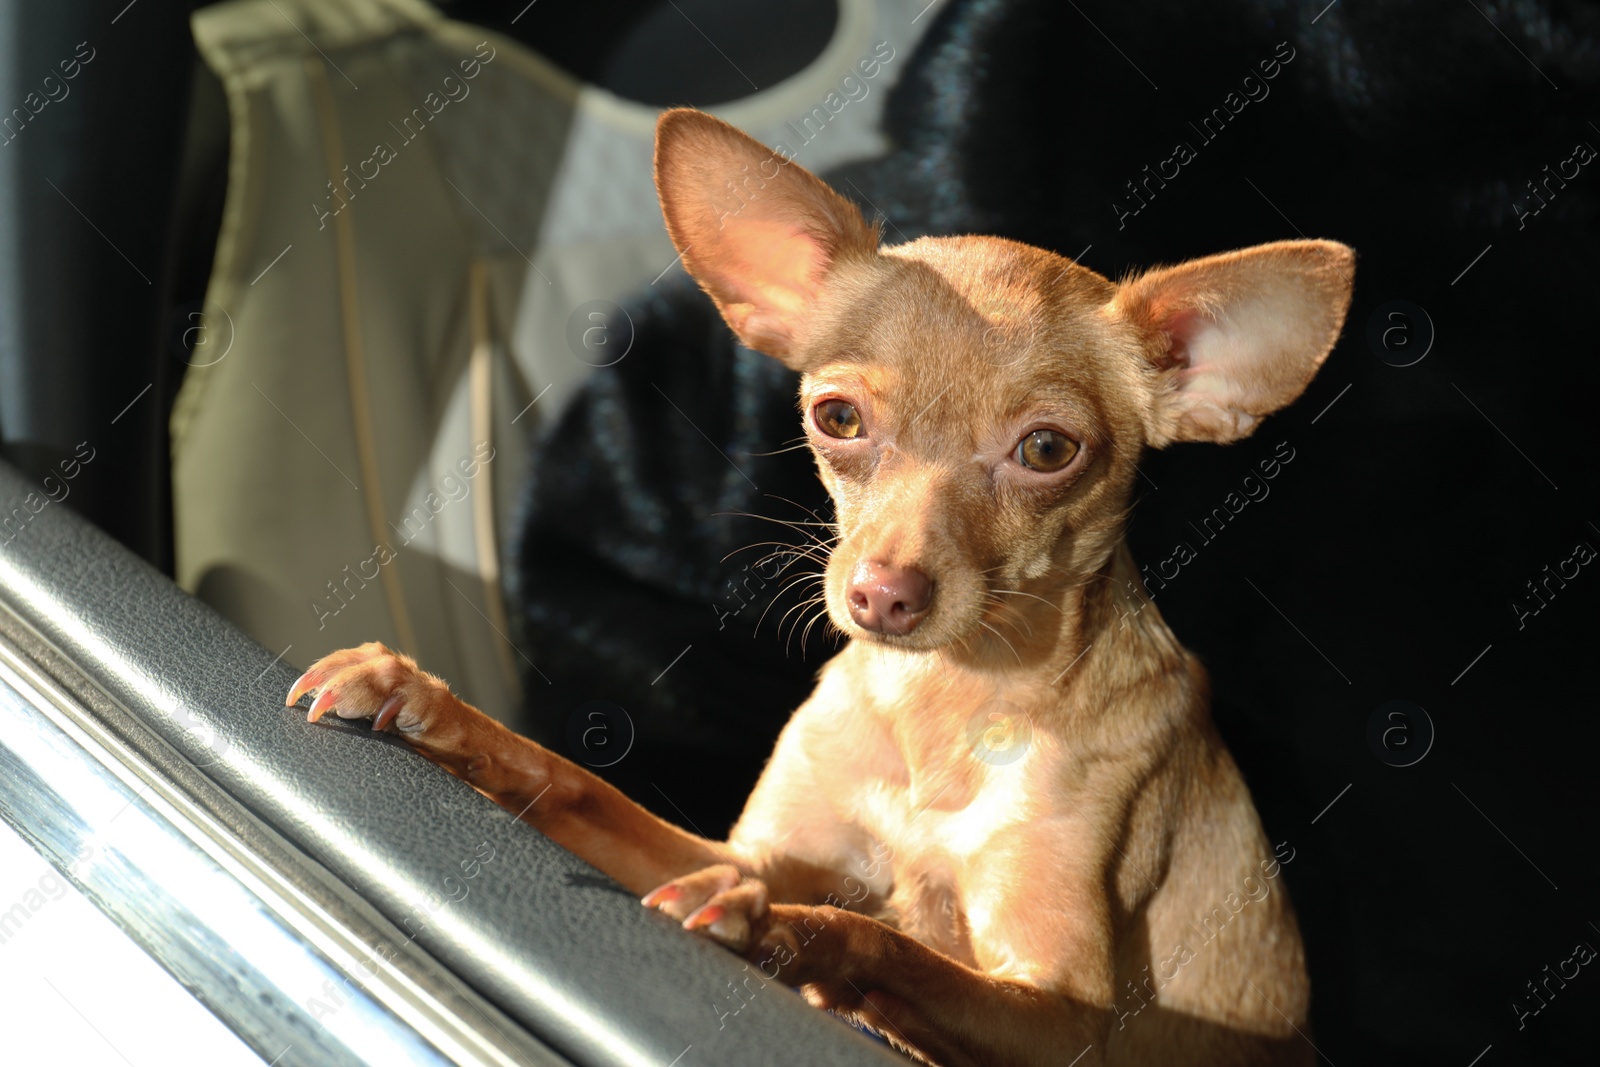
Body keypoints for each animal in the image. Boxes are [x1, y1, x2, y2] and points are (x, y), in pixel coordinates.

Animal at [288, 106, 1350, 1062]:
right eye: (836, 418)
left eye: (1048, 450)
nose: (883, 593)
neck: (944, 707)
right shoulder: (736, 851)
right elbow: (574, 782)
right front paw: (427, 703)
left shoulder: (1062, 1014)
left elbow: (888, 941)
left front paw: (782, 931)